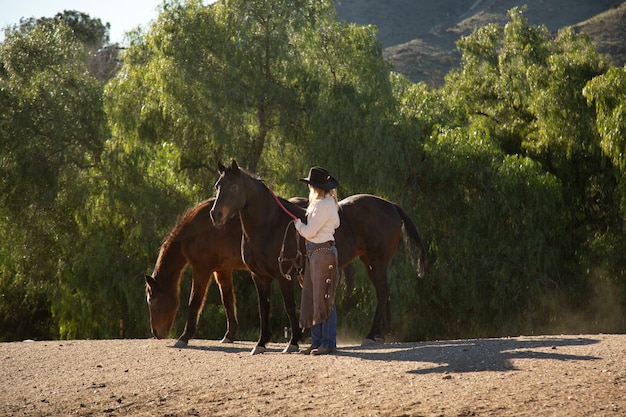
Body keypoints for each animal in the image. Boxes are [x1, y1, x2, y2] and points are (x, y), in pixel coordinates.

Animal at [210, 159, 424, 354]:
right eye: (218, 186)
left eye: (234, 186)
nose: (215, 214)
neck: (269, 225)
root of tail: (391, 205)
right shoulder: (259, 277)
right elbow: (264, 309)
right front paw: (261, 344)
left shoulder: (284, 275)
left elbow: (289, 306)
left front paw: (293, 342)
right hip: (370, 262)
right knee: (385, 292)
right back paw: (381, 334)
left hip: (377, 261)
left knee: (382, 292)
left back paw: (371, 336)